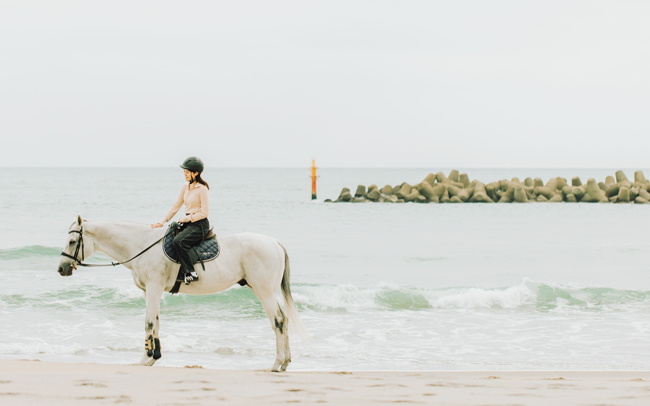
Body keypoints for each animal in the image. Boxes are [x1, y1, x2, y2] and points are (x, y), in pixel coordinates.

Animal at [56, 216, 306, 372]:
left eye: (72, 241)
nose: (61, 269)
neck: (142, 245)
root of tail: (274, 242)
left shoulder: (154, 288)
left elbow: (148, 323)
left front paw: (145, 358)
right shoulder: (150, 291)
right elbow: (156, 322)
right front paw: (154, 357)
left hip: (264, 292)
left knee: (278, 321)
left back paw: (277, 364)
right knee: (282, 320)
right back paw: (285, 363)